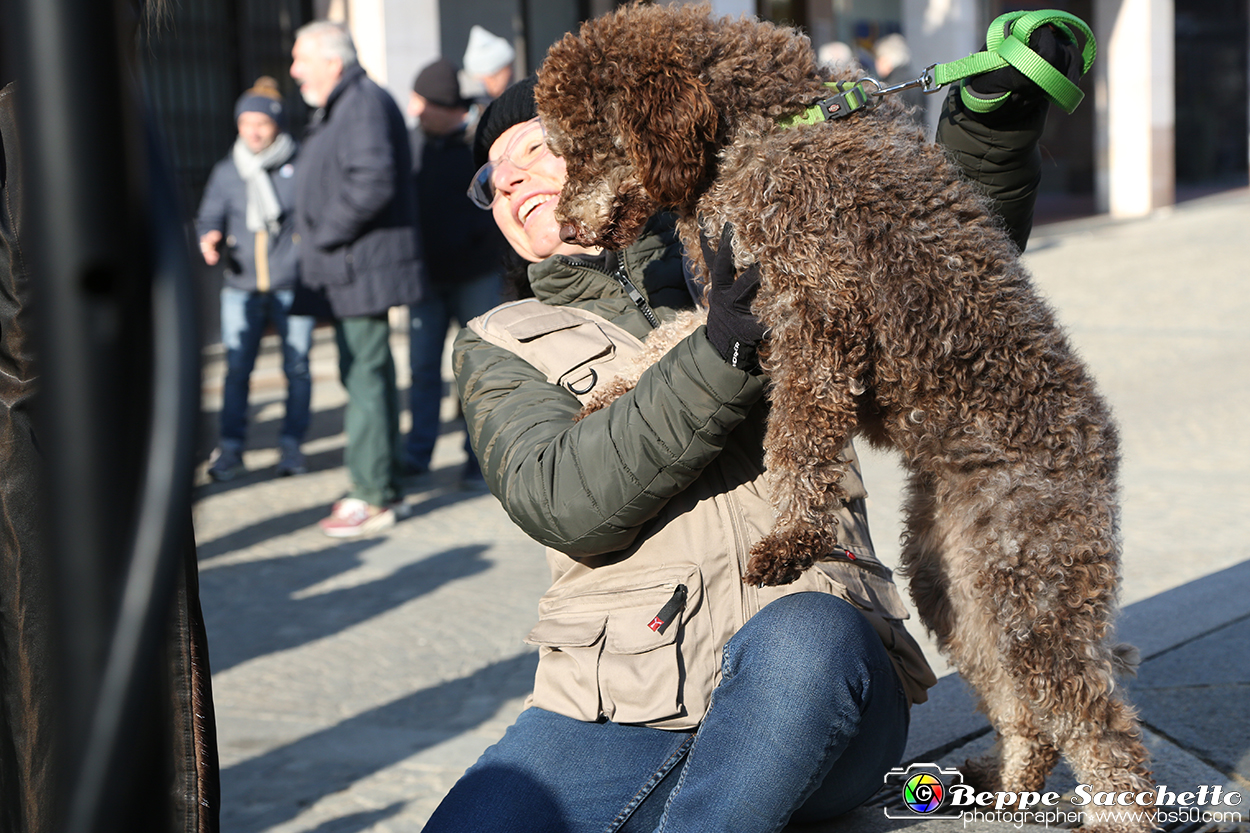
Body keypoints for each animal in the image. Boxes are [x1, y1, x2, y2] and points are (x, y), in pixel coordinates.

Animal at [532, 3, 1155, 825]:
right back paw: (1003, 780)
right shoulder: (743, 302)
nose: (568, 229)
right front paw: (610, 390)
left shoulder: (814, 312)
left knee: (1100, 724)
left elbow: (797, 444)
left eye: (584, 145)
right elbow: (674, 340)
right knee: (1024, 707)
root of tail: (1099, 447)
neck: (765, 127)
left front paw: (792, 537)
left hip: (1033, 582)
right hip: (957, 580)